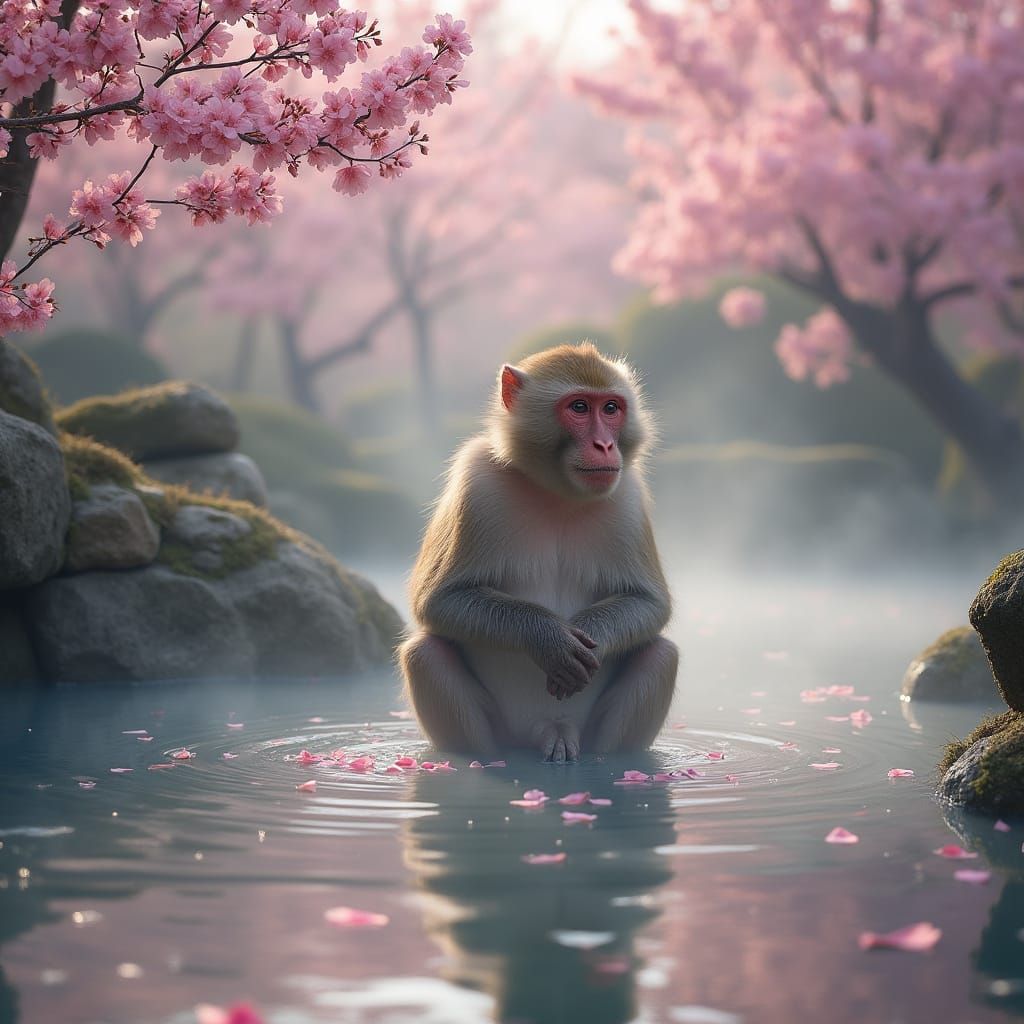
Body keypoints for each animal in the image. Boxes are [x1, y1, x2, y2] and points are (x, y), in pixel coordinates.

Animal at [398, 342, 677, 763]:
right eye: (579, 407)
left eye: (611, 408)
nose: (605, 445)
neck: (556, 493)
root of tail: (551, 730)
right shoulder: (476, 483)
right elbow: (439, 600)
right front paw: (550, 639)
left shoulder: (625, 495)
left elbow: (648, 603)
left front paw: (592, 634)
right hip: (502, 732)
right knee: (425, 653)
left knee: (661, 654)